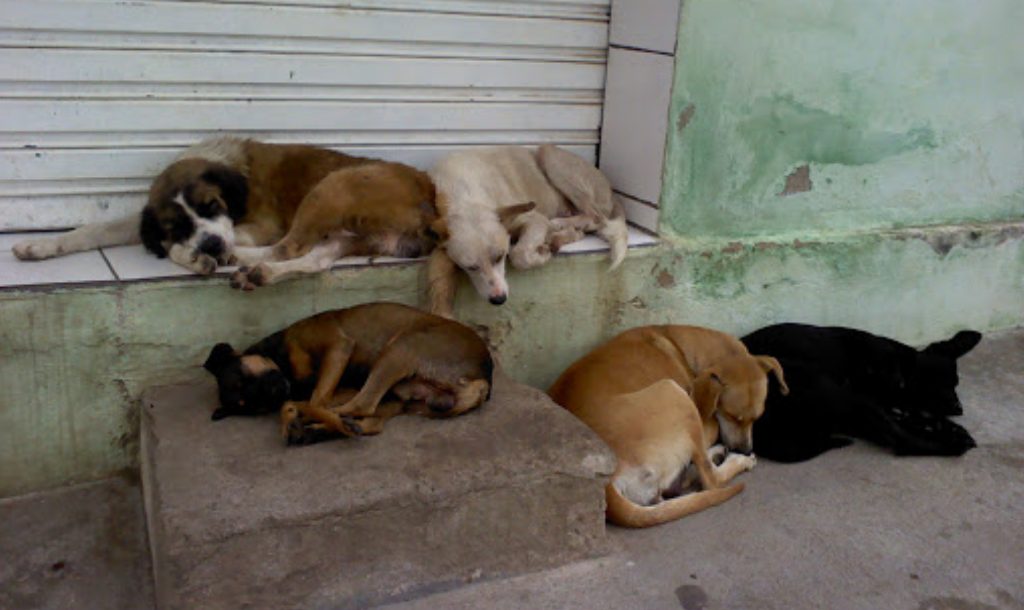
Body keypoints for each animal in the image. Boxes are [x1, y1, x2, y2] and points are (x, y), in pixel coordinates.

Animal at [11, 137, 440, 280]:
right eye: (176, 224)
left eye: (212, 205)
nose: (212, 246)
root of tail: (431, 197)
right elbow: (96, 229)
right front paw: (39, 246)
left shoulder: (261, 223)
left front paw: (192, 255)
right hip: (348, 232)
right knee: (313, 260)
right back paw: (256, 271)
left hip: (332, 187)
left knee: (288, 246)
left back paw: (237, 259)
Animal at [201, 302, 493, 444]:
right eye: (252, 403)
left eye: (244, 376)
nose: (275, 391)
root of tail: (483, 379)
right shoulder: (339, 386)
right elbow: (316, 401)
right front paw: (294, 417)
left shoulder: (338, 348)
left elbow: (316, 399)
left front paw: (296, 413)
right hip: (404, 395)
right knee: (370, 419)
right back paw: (316, 429)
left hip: (401, 347)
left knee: (361, 407)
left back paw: (314, 422)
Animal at [548, 323, 786, 528]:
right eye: (731, 416)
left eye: (757, 418)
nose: (745, 449)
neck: (682, 348)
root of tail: (605, 481)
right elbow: (714, 432)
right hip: (673, 393)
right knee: (711, 481)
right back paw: (736, 460)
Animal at [741, 323, 978, 462]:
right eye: (946, 383)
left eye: (956, 383)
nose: (959, 409)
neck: (899, 364)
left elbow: (910, 415)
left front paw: (943, 425)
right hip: (837, 393)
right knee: (901, 442)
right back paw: (953, 445)